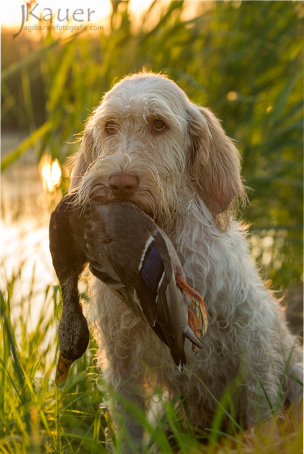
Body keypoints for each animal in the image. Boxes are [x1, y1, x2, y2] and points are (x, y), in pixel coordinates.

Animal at [68, 71, 302, 450]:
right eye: (109, 127)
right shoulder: (120, 359)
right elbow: (128, 429)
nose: (120, 183)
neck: (164, 240)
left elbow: (261, 417)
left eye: (159, 124)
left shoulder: (253, 341)